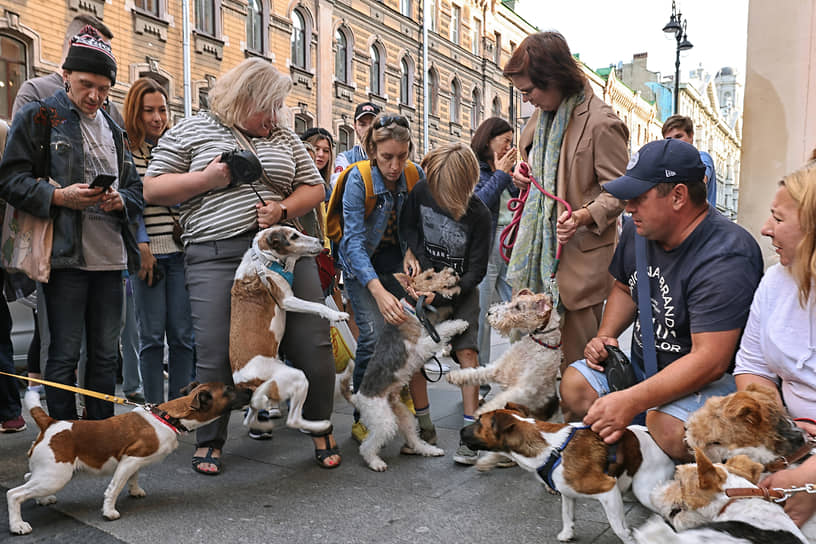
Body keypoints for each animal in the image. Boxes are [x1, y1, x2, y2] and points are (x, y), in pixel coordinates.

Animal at [7, 380, 249, 532]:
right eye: (228, 389)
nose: (249, 390)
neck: (169, 417)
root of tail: (50, 424)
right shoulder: (129, 460)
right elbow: (114, 488)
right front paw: (109, 511)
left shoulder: (135, 463)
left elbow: (134, 478)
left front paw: (135, 491)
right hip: (56, 476)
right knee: (14, 494)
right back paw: (18, 525)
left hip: (49, 474)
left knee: (29, 479)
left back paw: (42, 499)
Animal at [230, 225, 348, 434]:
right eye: (293, 236)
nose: (321, 241)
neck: (263, 259)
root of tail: (245, 382)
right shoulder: (287, 300)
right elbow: (317, 306)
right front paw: (336, 315)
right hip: (296, 378)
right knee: (293, 420)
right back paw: (320, 424)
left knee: (249, 419)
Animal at [356, 268, 468, 472]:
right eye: (429, 276)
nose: (453, 271)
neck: (411, 309)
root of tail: (358, 397)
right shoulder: (421, 346)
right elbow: (441, 333)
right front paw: (461, 323)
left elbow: (441, 327)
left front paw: (458, 320)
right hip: (384, 421)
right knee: (367, 446)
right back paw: (376, 463)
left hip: (403, 415)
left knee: (414, 439)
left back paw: (430, 450)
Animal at [462, 402, 672, 540]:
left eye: (479, 421)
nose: (461, 431)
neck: (550, 449)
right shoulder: (567, 492)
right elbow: (566, 513)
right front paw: (567, 533)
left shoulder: (607, 489)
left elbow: (618, 527)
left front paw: (629, 537)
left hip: (645, 491)